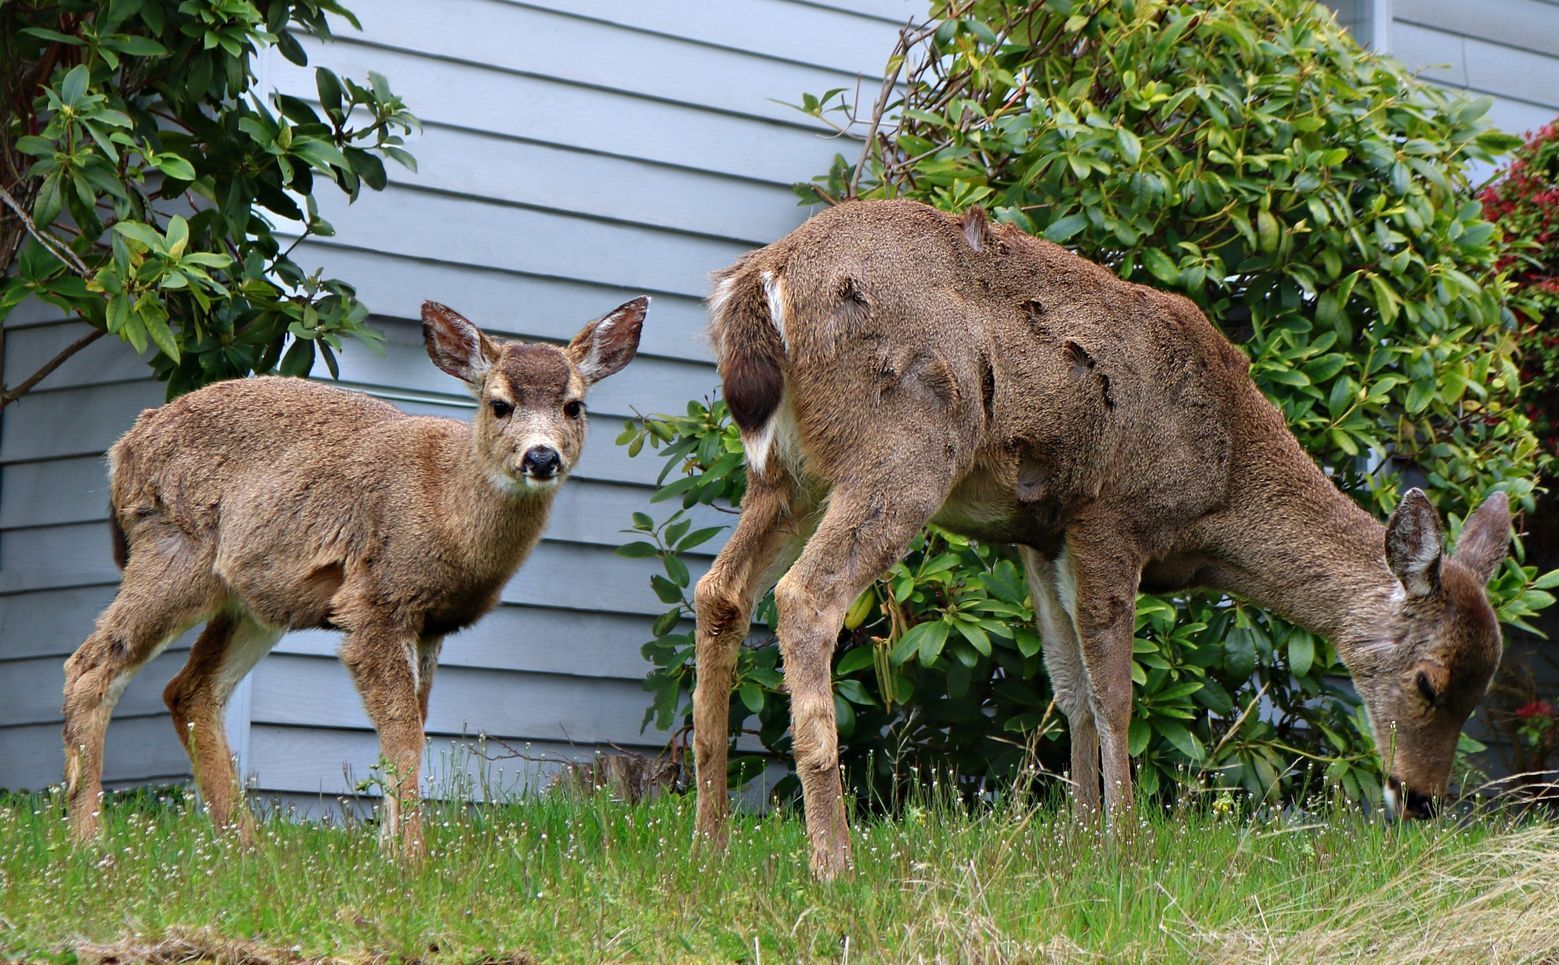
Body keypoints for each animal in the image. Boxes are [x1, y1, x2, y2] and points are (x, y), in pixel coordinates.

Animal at [60, 296, 648, 857]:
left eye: (574, 405)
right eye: (499, 404)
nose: (541, 456)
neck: (448, 511)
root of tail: (125, 446)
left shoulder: (430, 624)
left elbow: (410, 727)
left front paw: (389, 849)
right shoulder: (376, 601)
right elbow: (405, 736)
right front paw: (411, 858)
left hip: (255, 599)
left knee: (190, 690)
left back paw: (245, 846)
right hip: (174, 550)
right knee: (90, 666)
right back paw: (91, 840)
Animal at [691, 198, 1513, 879]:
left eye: (1481, 691)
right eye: (1429, 681)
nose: (1420, 799)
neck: (1223, 481)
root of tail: (761, 278)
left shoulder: (1040, 533)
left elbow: (1070, 686)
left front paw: (1079, 838)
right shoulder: (1112, 516)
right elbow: (1116, 692)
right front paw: (1125, 843)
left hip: (787, 472)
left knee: (719, 591)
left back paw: (712, 843)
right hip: (904, 441)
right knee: (807, 597)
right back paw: (833, 862)